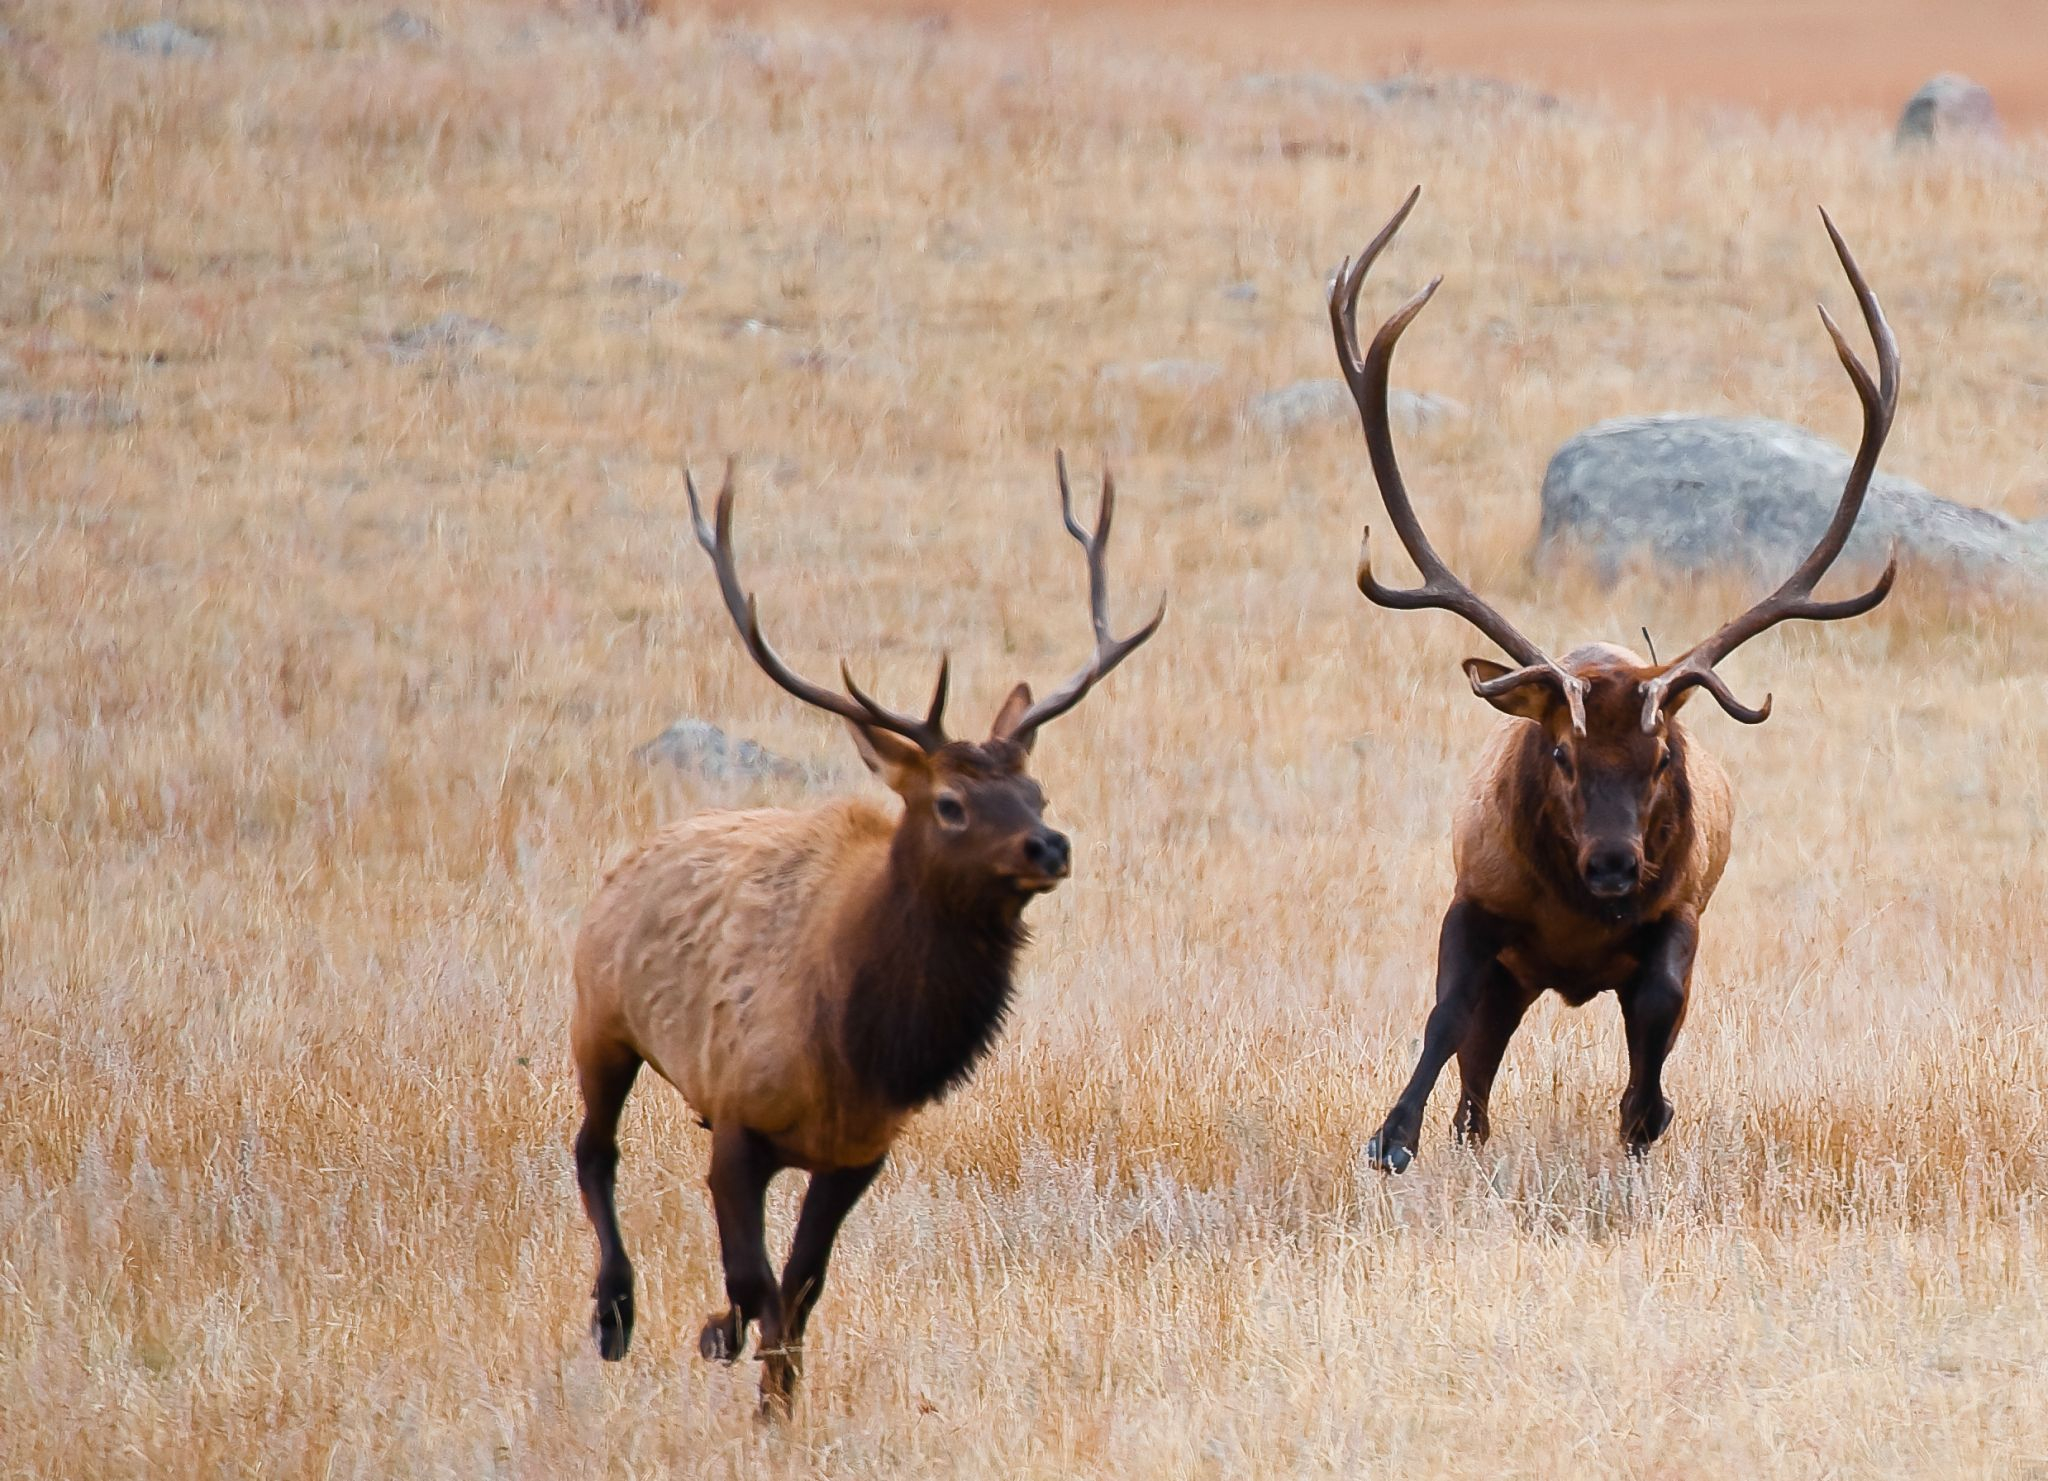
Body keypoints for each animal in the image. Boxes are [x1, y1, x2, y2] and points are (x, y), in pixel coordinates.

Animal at [569, 452, 1163, 1417]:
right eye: (951, 802)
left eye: (1035, 792)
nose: (1050, 844)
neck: (858, 1047)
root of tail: (632, 854)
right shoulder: (737, 1113)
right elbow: (758, 1282)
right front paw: (724, 1343)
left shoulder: (859, 1152)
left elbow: (798, 1291)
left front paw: (773, 1403)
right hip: (599, 1015)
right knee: (595, 1149)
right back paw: (615, 1311)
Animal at [1327, 191, 1900, 1179]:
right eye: (1561, 750)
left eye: (1664, 755)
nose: (1612, 863)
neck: (1576, 922)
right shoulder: (1474, 900)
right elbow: (1441, 1021)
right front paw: (1390, 1134)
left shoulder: (1681, 915)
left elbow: (1657, 1027)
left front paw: (1648, 1113)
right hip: (1512, 979)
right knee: (1475, 1085)